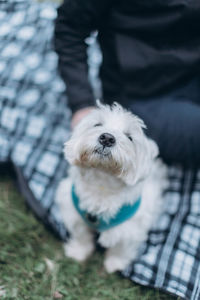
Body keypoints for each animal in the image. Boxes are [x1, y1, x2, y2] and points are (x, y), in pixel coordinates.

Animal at [55, 102, 168, 274]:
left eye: (130, 137)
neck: (102, 182)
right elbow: (81, 234)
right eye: (97, 124)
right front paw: (78, 252)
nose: (107, 138)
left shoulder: (130, 229)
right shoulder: (74, 212)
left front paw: (115, 263)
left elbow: (121, 247)